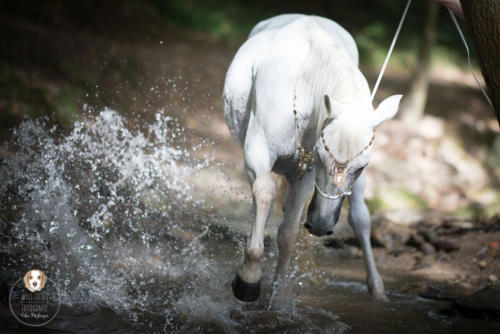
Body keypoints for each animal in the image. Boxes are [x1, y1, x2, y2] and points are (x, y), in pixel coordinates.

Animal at [223, 14, 402, 302]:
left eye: (363, 166)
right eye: (320, 155)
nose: (319, 225)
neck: (305, 88)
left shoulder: (303, 174)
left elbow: (287, 234)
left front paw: (276, 297)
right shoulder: (257, 151)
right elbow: (264, 194)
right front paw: (248, 278)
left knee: (360, 219)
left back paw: (376, 289)